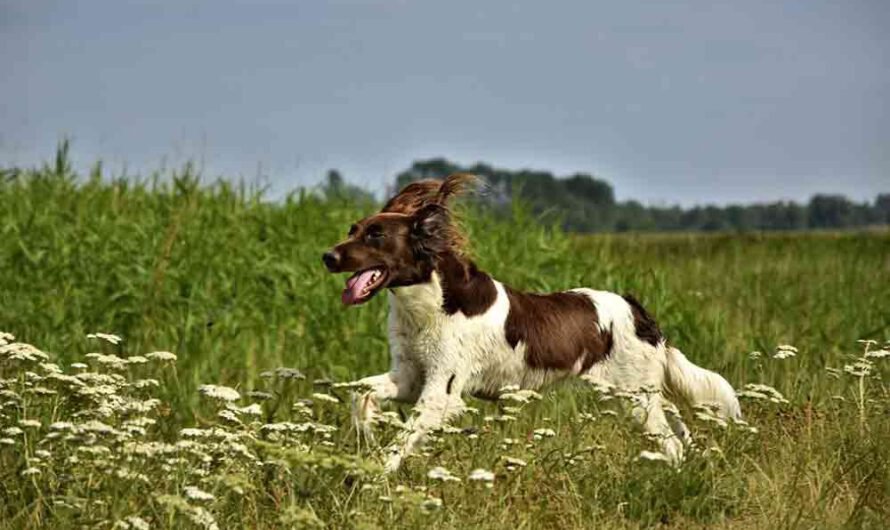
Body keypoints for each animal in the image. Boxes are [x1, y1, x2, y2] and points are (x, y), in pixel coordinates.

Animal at [322, 173, 740, 470]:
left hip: (636, 396)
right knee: (678, 427)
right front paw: (366, 434)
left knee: (671, 443)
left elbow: (398, 444)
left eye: (376, 235)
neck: (430, 303)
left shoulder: (441, 391)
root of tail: (640, 311)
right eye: (352, 230)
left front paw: (372, 476)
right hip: (640, 394)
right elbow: (360, 394)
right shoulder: (410, 376)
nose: (327, 256)